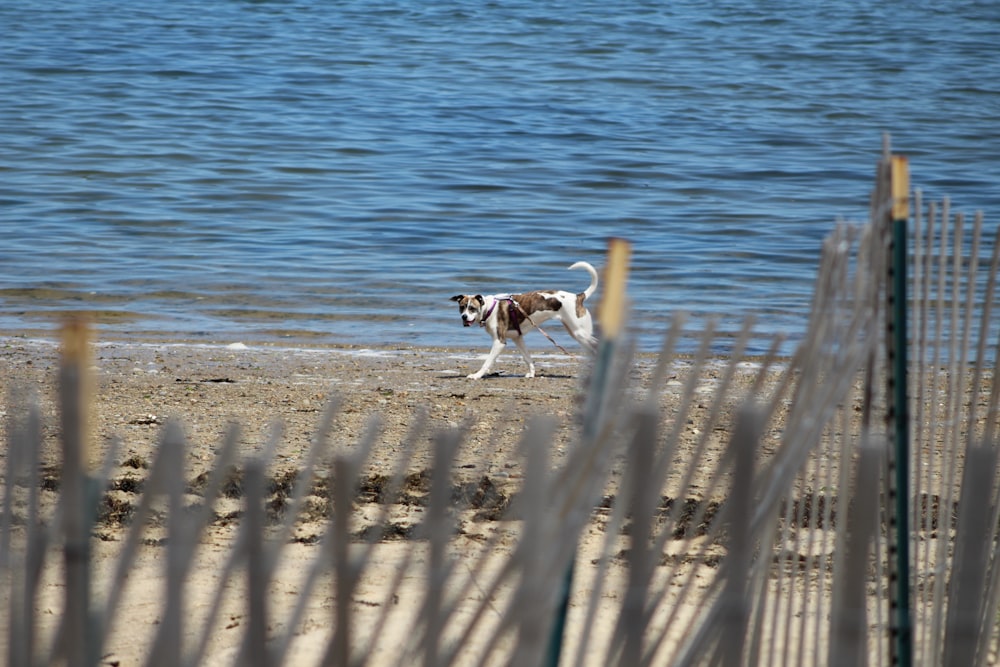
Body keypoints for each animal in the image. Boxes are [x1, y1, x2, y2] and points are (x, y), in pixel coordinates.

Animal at [450, 260, 596, 378]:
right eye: (462, 307)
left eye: (472, 308)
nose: (464, 317)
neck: (489, 308)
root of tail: (578, 297)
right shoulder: (518, 338)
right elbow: (528, 358)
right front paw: (531, 373)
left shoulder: (499, 342)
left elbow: (487, 362)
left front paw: (477, 375)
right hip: (574, 331)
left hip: (579, 333)